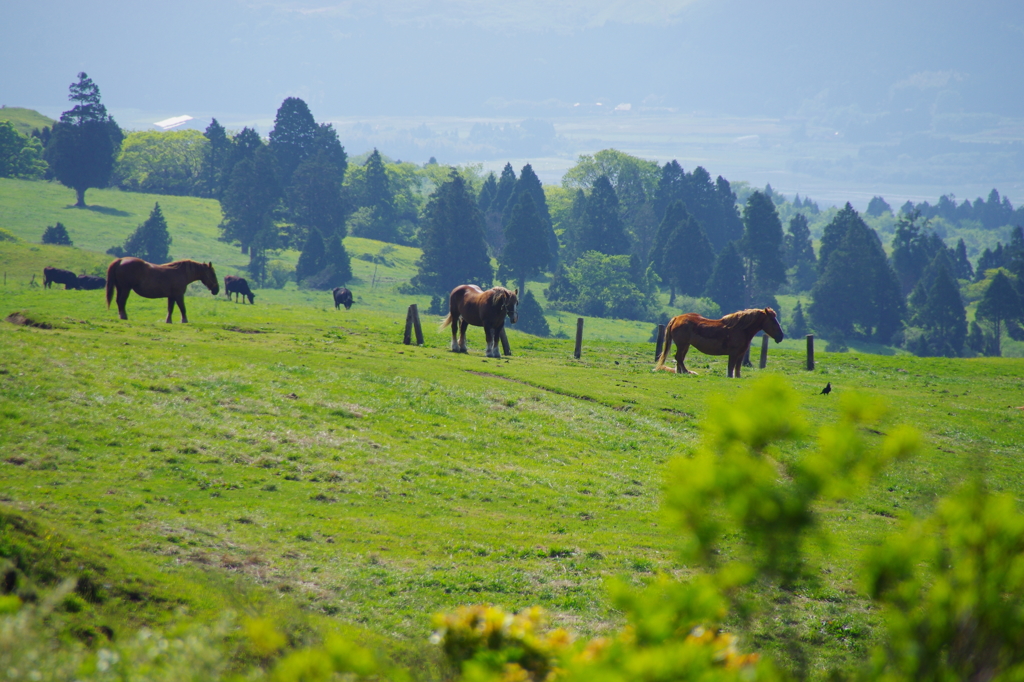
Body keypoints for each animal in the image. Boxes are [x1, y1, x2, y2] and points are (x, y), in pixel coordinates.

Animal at [651, 307, 786, 376]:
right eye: (773, 321)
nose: (781, 336)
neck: (740, 329)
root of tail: (676, 318)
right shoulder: (733, 354)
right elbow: (731, 368)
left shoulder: (741, 354)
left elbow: (737, 368)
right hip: (683, 345)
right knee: (679, 358)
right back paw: (687, 372)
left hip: (685, 345)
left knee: (680, 358)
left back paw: (681, 372)